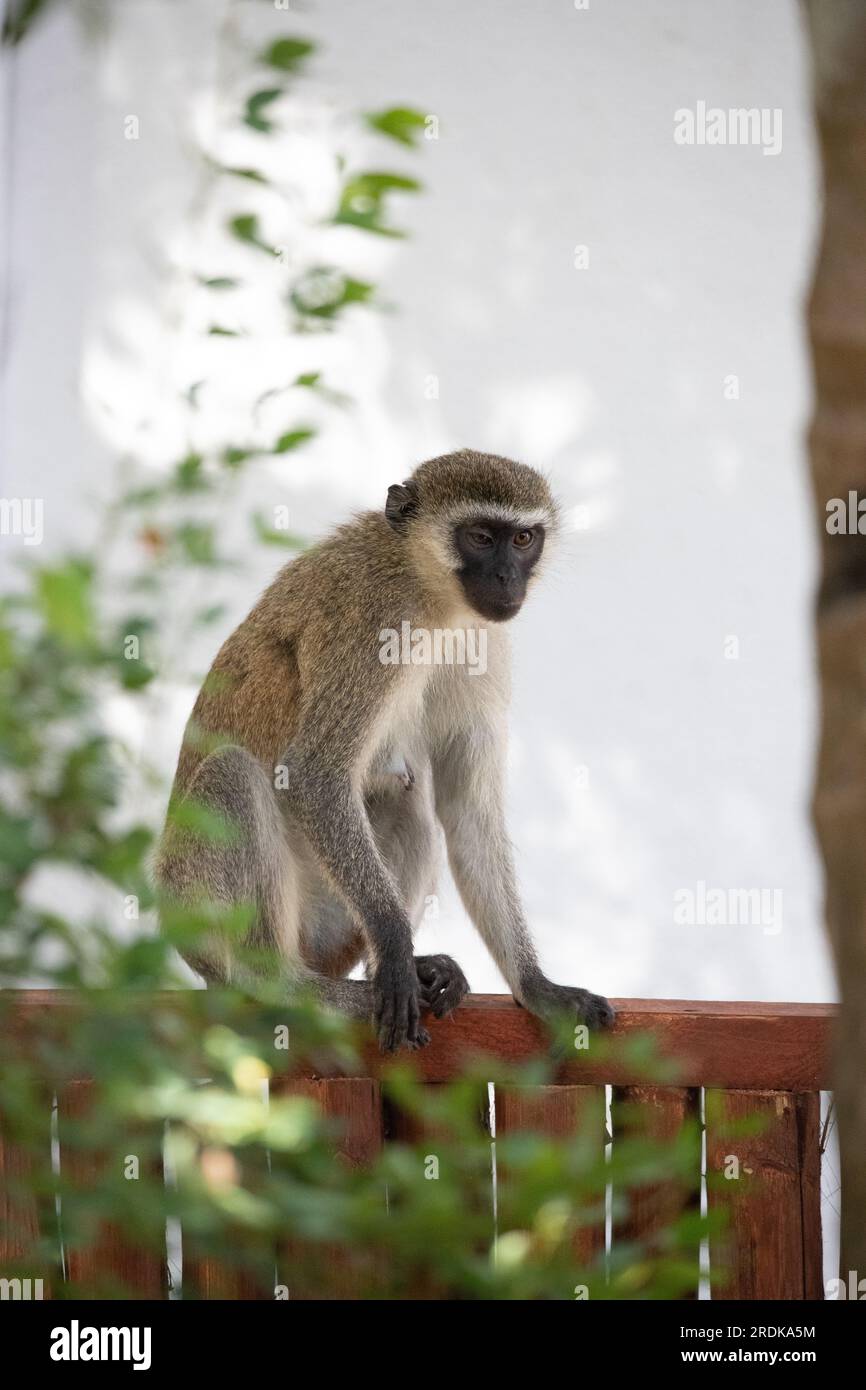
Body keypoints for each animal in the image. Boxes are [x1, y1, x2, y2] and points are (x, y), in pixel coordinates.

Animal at [155, 448, 614, 1050]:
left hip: (333, 930)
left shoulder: (484, 641)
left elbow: (467, 812)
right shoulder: (374, 621)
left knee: (410, 805)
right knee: (233, 774)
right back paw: (290, 983)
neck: (428, 588)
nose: (506, 577)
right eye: (479, 537)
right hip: (199, 907)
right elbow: (315, 773)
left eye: (522, 539)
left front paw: (537, 986)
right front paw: (396, 948)